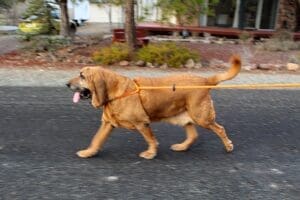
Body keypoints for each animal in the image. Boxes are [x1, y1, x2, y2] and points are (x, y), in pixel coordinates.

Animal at [67, 55, 240, 159]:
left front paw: (150, 153)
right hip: (185, 117)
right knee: (193, 135)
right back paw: (182, 147)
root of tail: (205, 81)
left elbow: (150, 139)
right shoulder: (107, 124)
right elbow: (96, 140)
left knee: (220, 129)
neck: (116, 92)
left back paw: (228, 146)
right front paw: (89, 152)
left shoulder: (142, 123)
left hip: (202, 118)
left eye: (82, 76)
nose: (67, 84)